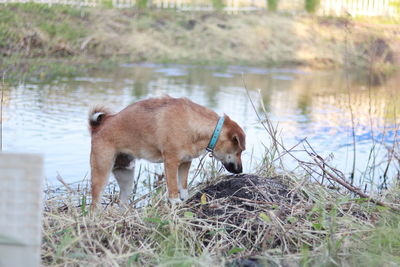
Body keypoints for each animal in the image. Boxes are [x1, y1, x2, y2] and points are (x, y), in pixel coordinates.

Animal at [88, 96, 245, 209]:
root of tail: (98, 127)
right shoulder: (171, 162)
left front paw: (185, 198)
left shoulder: (185, 162)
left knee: (122, 203)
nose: (240, 171)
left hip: (126, 177)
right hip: (102, 173)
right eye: (239, 151)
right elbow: (173, 186)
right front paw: (175, 201)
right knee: (94, 204)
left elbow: (183, 184)